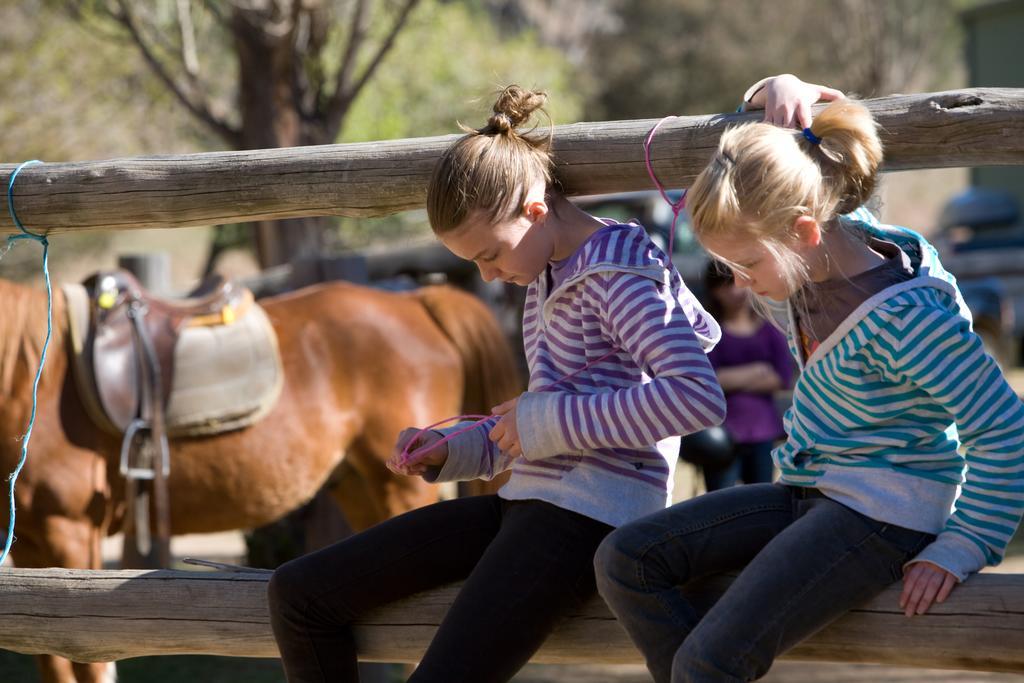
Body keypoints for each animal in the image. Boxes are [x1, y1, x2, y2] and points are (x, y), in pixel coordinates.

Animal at [0, 274, 520, 679]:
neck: (31, 377)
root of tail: (415, 301)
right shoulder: (30, 546)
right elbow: (50, 657)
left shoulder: (70, 534)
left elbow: (85, 658)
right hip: (359, 489)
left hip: (400, 488)